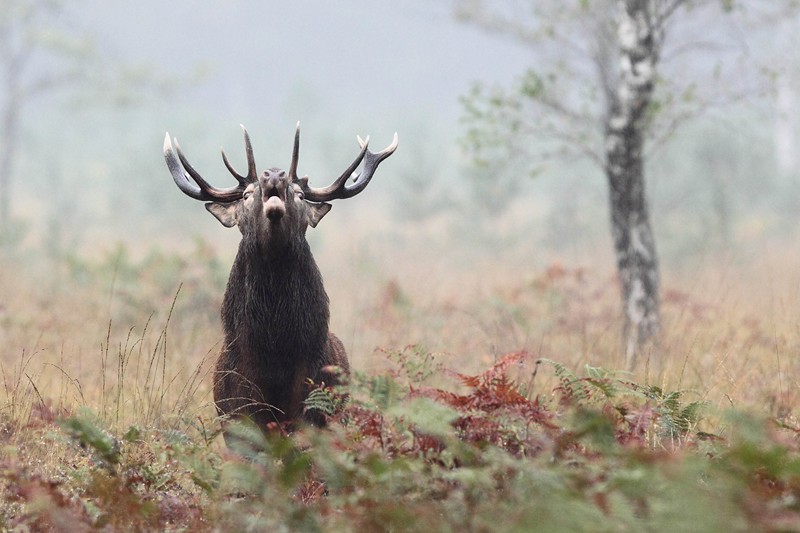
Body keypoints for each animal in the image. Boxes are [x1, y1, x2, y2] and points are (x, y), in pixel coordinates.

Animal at [163, 123, 397, 435]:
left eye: (299, 195)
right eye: (247, 195)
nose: (274, 174)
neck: (274, 360)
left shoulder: (313, 410)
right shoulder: (237, 414)